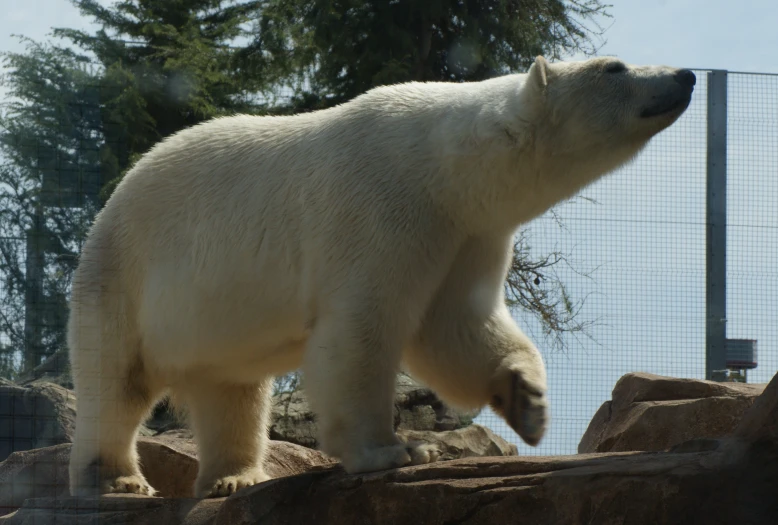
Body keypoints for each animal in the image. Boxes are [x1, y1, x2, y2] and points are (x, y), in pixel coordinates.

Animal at [66, 55, 696, 498]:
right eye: (615, 68)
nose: (686, 75)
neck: (445, 164)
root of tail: (112, 200)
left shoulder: (466, 231)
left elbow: (457, 325)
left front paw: (529, 400)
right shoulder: (382, 207)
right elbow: (362, 330)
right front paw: (397, 451)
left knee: (232, 390)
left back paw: (235, 476)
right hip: (122, 274)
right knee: (114, 380)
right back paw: (117, 478)